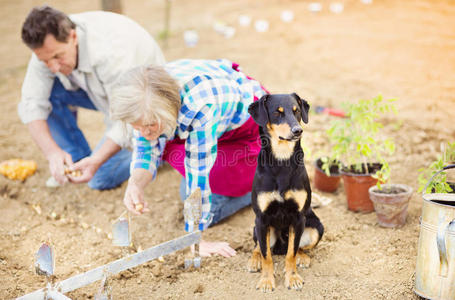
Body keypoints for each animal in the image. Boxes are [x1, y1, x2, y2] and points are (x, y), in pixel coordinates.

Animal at [249, 93, 324, 290]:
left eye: (297, 111)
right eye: (277, 112)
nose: (298, 130)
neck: (282, 161)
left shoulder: (298, 217)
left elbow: (292, 252)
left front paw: (293, 278)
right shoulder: (261, 218)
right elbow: (267, 256)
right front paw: (266, 280)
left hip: (316, 228)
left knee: (297, 248)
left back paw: (302, 258)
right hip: (257, 228)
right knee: (259, 247)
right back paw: (254, 260)